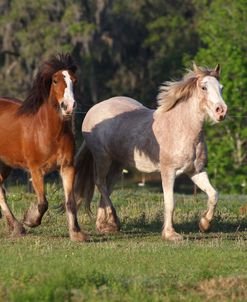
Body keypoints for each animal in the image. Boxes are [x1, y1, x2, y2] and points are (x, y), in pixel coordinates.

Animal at [0, 53, 86, 242]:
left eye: (74, 81)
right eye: (55, 80)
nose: (68, 106)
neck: (49, 132)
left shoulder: (67, 167)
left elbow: (70, 201)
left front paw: (76, 233)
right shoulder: (36, 170)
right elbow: (43, 203)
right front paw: (30, 220)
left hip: (5, 165)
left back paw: (16, 227)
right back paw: (18, 226)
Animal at [75, 63, 228, 241]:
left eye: (221, 87)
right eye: (204, 87)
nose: (221, 111)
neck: (182, 128)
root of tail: (94, 109)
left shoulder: (196, 171)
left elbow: (214, 195)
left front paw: (205, 224)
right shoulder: (168, 172)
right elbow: (170, 203)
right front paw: (170, 234)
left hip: (117, 164)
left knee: (107, 186)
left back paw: (104, 226)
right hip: (102, 158)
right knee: (100, 182)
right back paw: (114, 221)